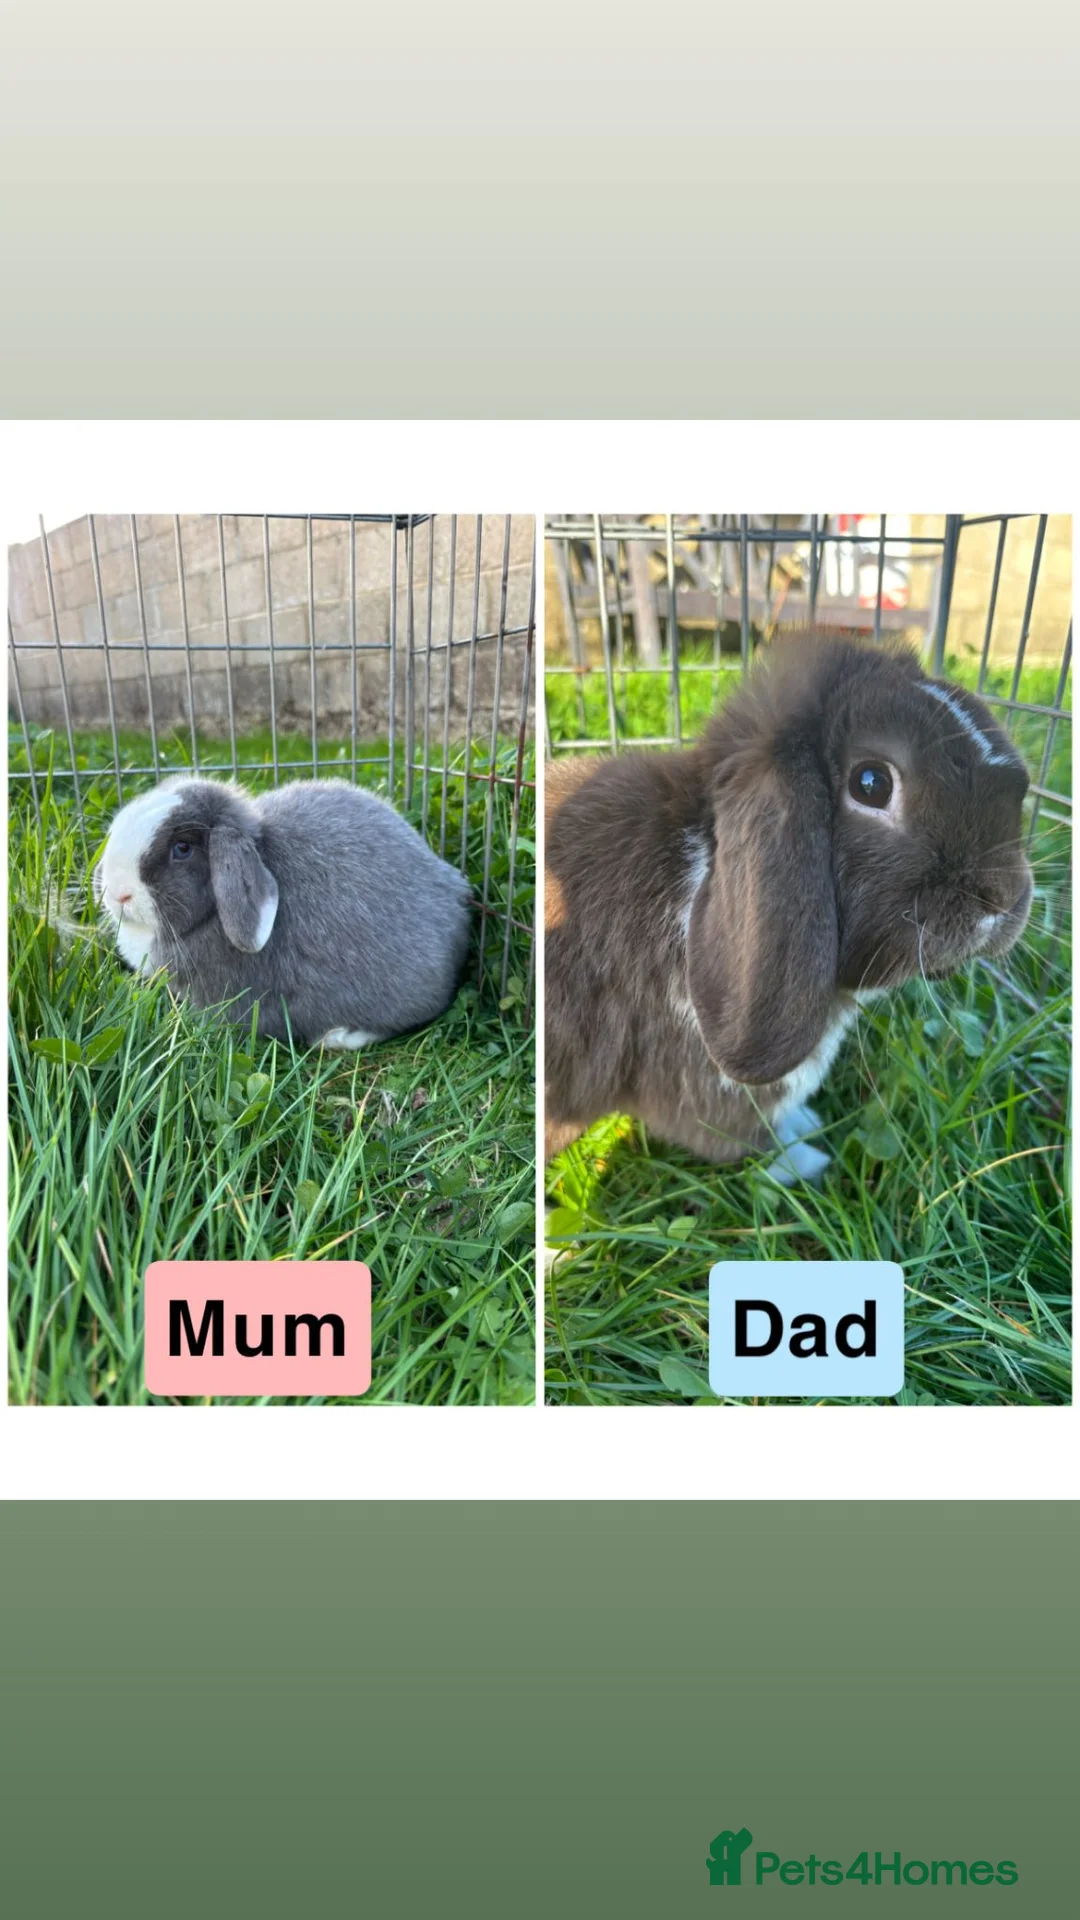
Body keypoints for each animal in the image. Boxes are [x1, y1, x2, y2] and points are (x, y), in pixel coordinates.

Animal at [545, 632, 1034, 1175]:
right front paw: (809, 1160)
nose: (1004, 898)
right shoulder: (712, 1094)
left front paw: (808, 1126)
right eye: (871, 783)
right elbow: (747, 1139)